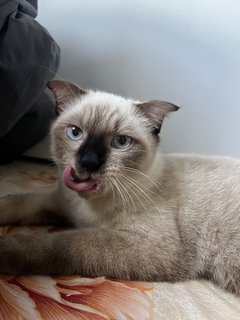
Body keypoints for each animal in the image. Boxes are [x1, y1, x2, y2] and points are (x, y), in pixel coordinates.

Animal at [0, 80, 240, 296]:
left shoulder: (146, 243)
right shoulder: (60, 204)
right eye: (75, 133)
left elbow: (61, 243)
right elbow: (17, 201)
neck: (86, 208)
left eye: (121, 142)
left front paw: (5, 248)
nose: (88, 162)